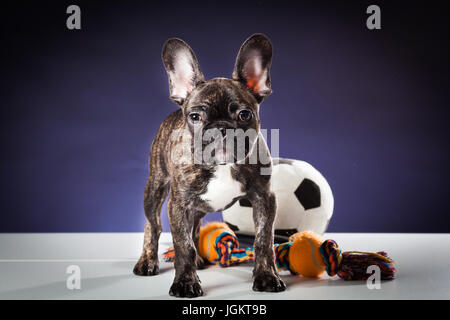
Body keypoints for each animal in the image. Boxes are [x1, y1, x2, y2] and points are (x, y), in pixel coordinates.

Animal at [132, 33, 286, 298]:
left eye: (245, 114)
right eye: (195, 117)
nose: (221, 128)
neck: (222, 165)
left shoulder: (264, 198)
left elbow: (263, 240)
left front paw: (267, 276)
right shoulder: (178, 204)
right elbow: (183, 245)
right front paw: (185, 282)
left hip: (196, 207)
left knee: (195, 227)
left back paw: (199, 261)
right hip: (155, 188)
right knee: (153, 224)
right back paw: (148, 261)